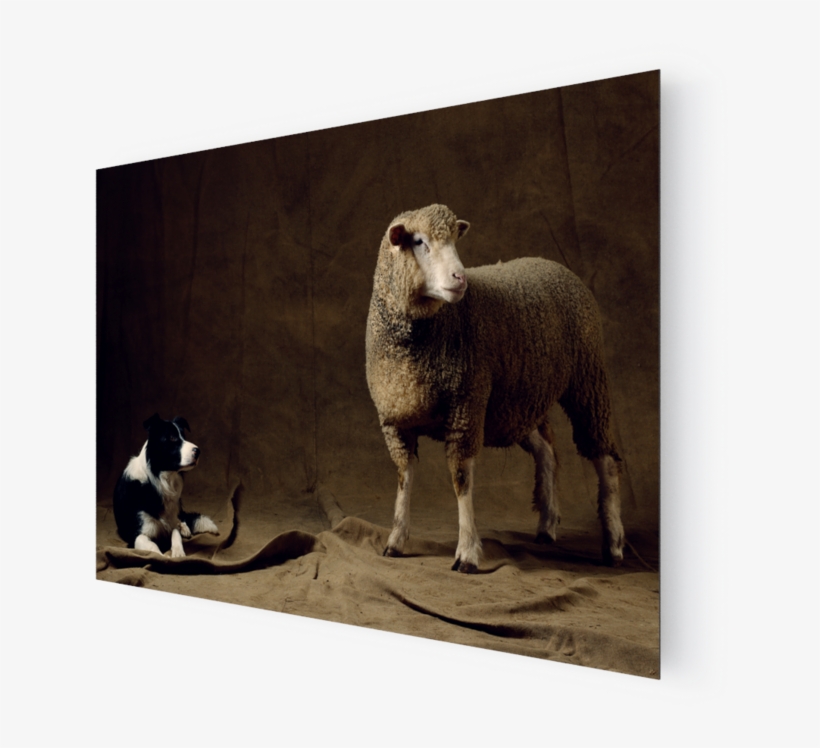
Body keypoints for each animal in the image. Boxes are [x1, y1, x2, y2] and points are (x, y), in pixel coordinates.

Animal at [365, 204, 625, 573]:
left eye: (456, 240)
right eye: (419, 242)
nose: (460, 279)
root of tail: (554, 265)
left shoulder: (466, 406)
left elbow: (461, 479)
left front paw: (467, 552)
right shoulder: (395, 420)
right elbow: (404, 477)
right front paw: (396, 540)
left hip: (587, 380)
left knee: (604, 457)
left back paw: (613, 542)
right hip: (519, 401)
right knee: (548, 449)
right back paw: (547, 525)